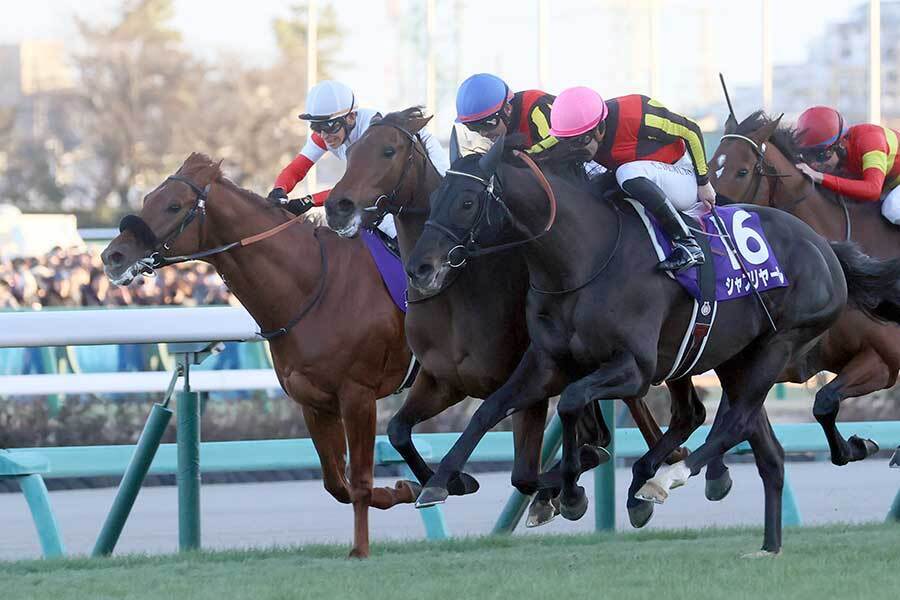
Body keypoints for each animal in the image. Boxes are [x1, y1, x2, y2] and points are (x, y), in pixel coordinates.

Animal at [101, 154, 418, 556]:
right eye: (146, 199)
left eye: (173, 205)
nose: (112, 256)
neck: (316, 287)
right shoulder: (314, 401)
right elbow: (336, 483)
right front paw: (405, 487)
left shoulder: (358, 395)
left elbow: (359, 481)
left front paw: (360, 548)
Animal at [324, 110, 684, 528]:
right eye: (351, 154)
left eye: (388, 151)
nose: (338, 207)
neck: (456, 293)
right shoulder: (444, 381)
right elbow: (398, 430)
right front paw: (452, 480)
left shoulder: (530, 383)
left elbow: (525, 471)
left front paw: (567, 486)